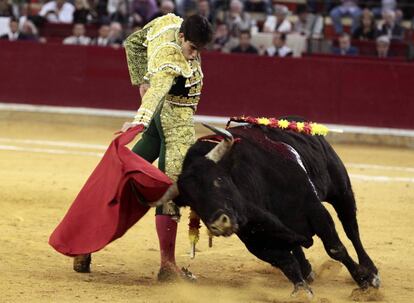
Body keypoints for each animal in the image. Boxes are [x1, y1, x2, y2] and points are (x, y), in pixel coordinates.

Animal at [155, 123, 378, 294]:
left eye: (219, 180)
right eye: (192, 202)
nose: (219, 223)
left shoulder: (315, 211)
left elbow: (335, 248)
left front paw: (363, 280)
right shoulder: (255, 240)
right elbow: (286, 262)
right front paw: (301, 290)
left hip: (341, 191)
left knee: (351, 230)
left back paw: (371, 271)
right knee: (296, 247)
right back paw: (307, 270)